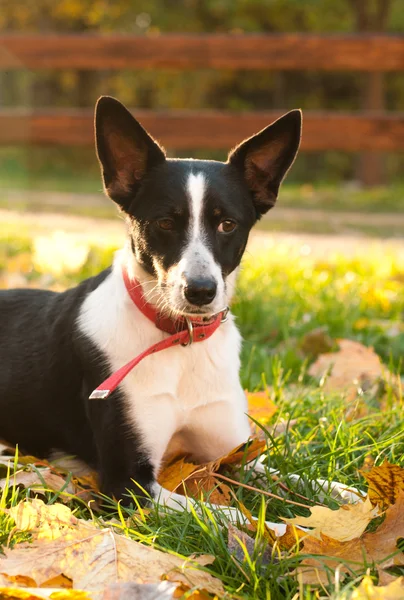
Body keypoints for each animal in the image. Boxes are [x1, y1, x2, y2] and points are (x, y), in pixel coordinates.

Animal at [0, 98, 300, 506]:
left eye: (228, 224)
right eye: (165, 223)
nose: (200, 291)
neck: (180, 339)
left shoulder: (235, 454)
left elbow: (306, 484)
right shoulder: (131, 483)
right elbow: (226, 513)